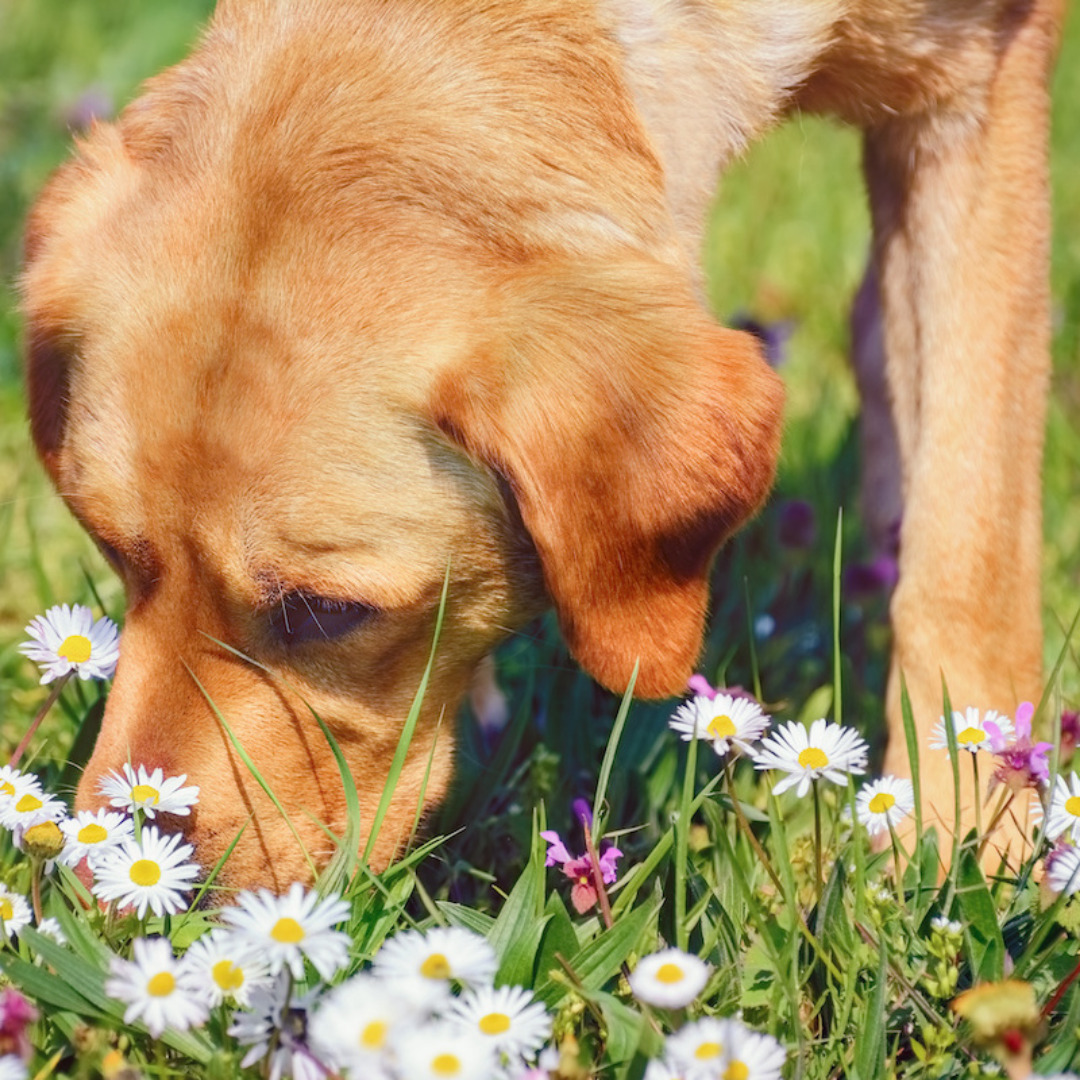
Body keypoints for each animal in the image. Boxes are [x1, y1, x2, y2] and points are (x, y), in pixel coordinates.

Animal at [23, 0, 1062, 889]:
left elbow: (969, 551)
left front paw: (966, 833)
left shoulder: (980, 83)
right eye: (111, 549)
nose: (102, 885)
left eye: (325, 612)